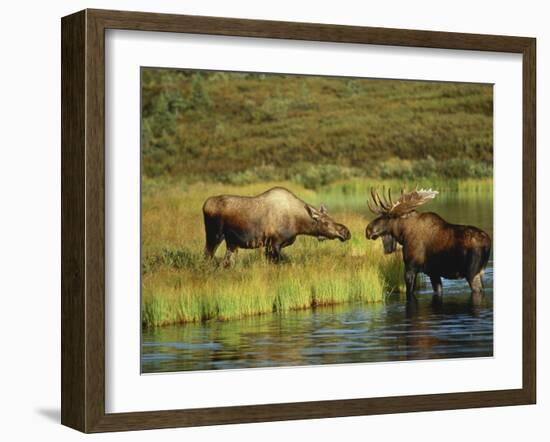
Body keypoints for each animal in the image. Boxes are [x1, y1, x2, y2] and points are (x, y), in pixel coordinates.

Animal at [204, 185, 354, 264]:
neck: (298, 224)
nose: (346, 232)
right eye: (326, 222)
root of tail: (204, 205)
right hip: (214, 236)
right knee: (207, 256)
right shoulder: (274, 243)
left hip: (231, 243)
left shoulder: (271, 246)